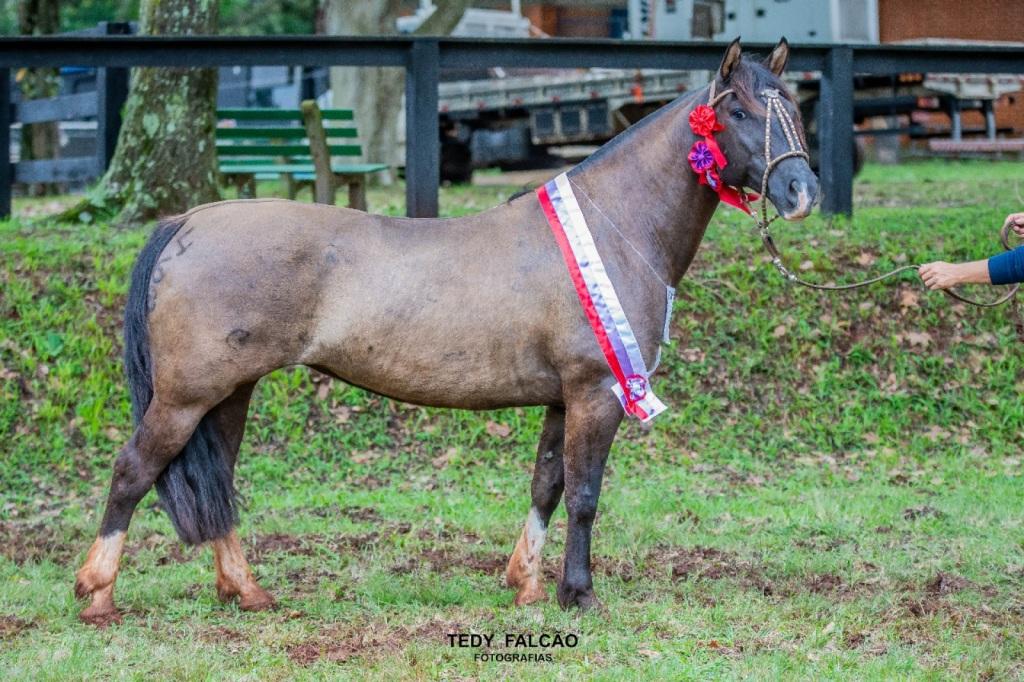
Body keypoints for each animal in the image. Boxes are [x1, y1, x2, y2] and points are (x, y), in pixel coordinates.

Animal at [74, 37, 815, 622]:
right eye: (739, 111)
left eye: (795, 108)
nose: (801, 192)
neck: (610, 228)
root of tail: (189, 220)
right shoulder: (596, 393)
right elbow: (583, 495)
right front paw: (578, 595)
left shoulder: (561, 399)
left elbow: (546, 485)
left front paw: (526, 584)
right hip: (186, 396)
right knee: (133, 470)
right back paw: (97, 593)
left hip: (229, 395)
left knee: (218, 483)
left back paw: (246, 592)